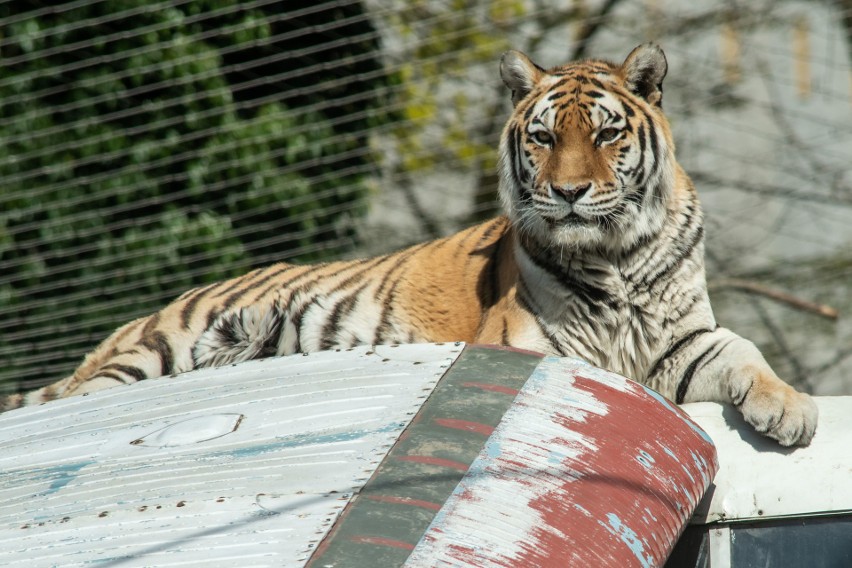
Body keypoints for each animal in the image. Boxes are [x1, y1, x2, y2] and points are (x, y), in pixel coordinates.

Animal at [5, 42, 820, 446]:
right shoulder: (529, 347)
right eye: (544, 138)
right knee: (77, 398)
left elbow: (746, 355)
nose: (567, 193)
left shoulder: (684, 339)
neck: (616, 257)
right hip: (153, 350)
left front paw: (792, 410)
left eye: (606, 135)